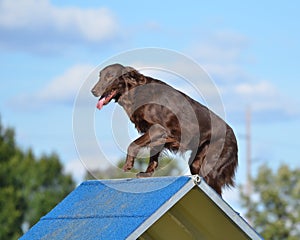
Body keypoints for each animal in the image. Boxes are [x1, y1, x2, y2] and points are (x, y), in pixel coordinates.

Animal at [91, 63, 237, 195]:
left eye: (110, 77)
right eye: (100, 76)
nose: (93, 91)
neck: (135, 91)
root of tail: (233, 136)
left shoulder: (159, 129)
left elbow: (133, 144)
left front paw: (128, 165)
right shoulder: (158, 136)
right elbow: (153, 157)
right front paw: (146, 174)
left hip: (211, 165)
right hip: (196, 163)